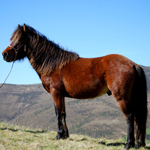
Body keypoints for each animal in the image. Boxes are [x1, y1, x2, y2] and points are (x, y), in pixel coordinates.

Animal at [2, 23, 148, 149]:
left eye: (19, 40)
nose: (5, 54)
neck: (54, 65)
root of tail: (133, 64)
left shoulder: (55, 93)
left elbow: (57, 113)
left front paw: (58, 136)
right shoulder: (61, 95)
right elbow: (63, 113)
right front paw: (65, 136)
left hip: (121, 97)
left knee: (129, 116)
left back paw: (128, 144)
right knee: (138, 117)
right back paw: (138, 144)